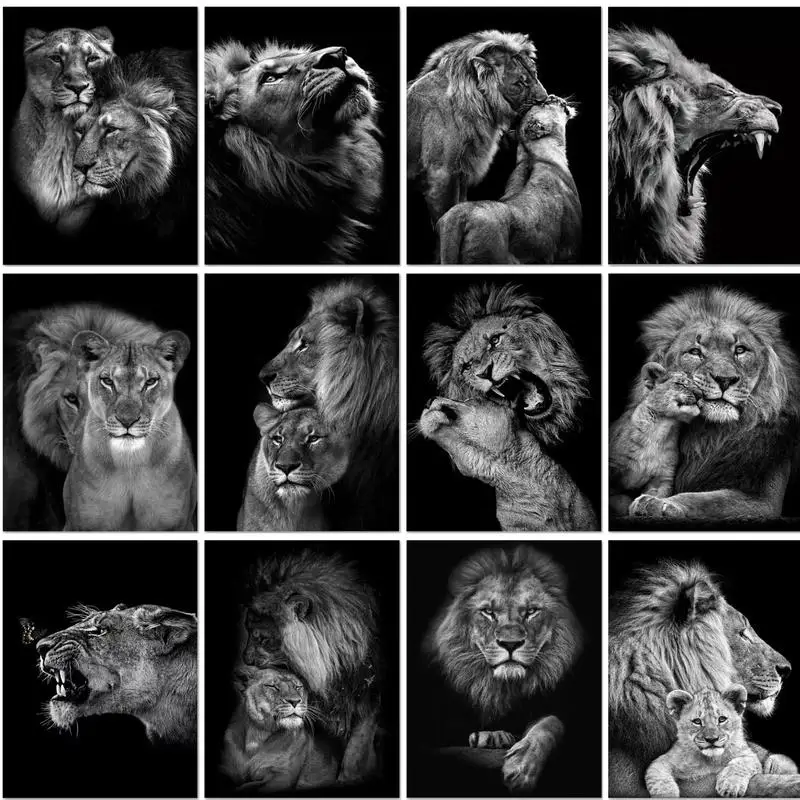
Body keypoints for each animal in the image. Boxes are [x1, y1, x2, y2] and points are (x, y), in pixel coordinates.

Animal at [242, 550, 382, 784]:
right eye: (247, 631)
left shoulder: (369, 699)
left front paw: (347, 778)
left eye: (261, 638)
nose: (245, 659)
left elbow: (356, 751)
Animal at [408, 30, 548, 224]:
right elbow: (445, 215)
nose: (545, 99)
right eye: (519, 83)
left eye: (535, 74)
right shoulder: (441, 174)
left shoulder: (460, 173)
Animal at [424, 545, 583, 793]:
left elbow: (550, 723)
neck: (501, 687)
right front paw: (493, 735)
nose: (510, 644)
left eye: (531, 611)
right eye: (488, 612)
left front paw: (522, 767)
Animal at [609, 363, 701, 517]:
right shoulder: (613, 467)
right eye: (680, 384)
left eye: (700, 388)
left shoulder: (662, 478)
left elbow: (657, 495)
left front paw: (645, 505)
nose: (700, 395)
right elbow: (618, 499)